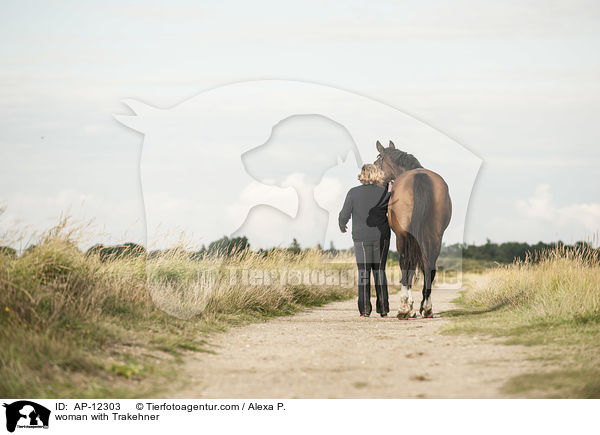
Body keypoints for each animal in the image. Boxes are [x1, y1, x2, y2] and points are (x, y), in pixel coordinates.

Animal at [372, 141, 452, 318]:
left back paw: (404, 308)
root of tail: (420, 178)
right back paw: (427, 307)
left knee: (405, 263)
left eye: (377, 162)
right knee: (430, 266)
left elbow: (407, 266)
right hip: (436, 236)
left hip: (403, 237)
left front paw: (408, 306)